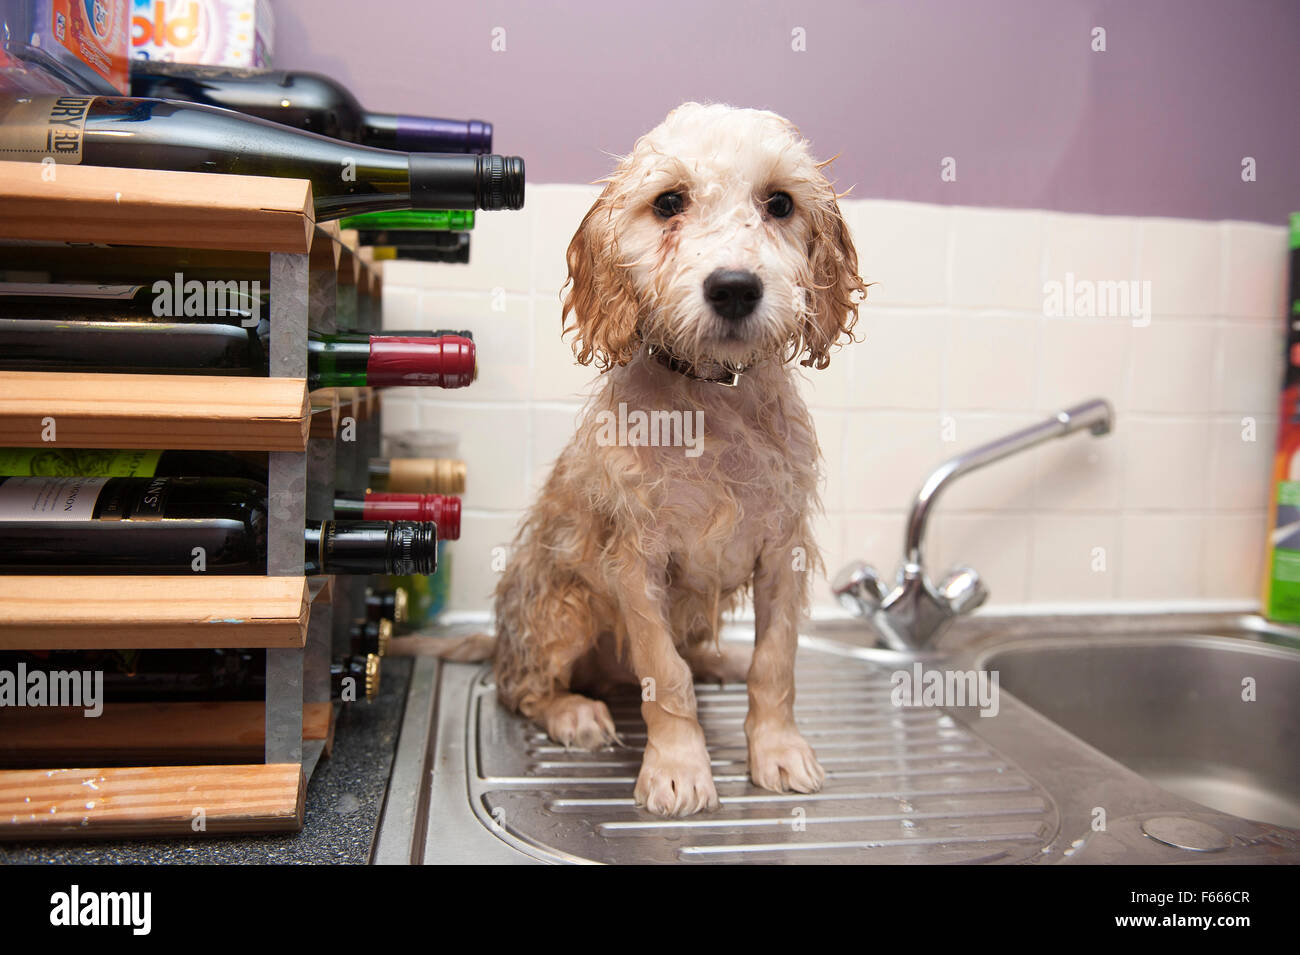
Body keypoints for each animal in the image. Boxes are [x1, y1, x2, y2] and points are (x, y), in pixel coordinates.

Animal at [491, 104, 857, 815]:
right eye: (668, 203)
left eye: (780, 203)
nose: (735, 288)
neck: (712, 401)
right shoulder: (637, 564)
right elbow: (665, 675)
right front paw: (679, 767)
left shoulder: (783, 550)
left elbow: (776, 664)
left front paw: (777, 748)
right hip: (562, 609)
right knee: (522, 689)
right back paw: (573, 711)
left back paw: (722, 661)